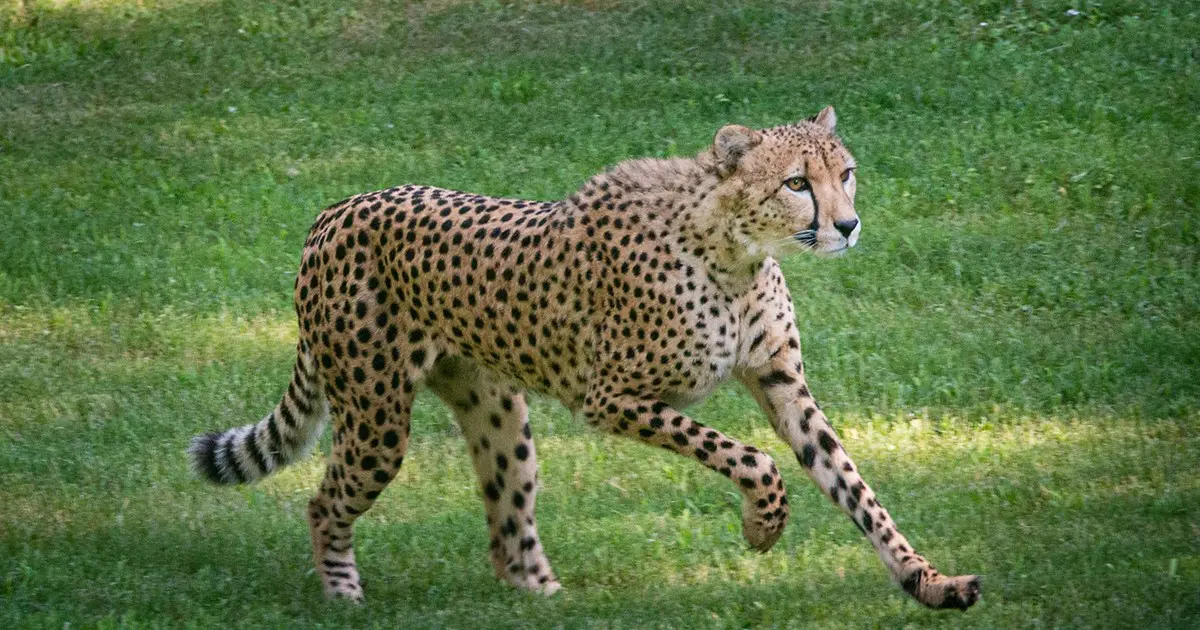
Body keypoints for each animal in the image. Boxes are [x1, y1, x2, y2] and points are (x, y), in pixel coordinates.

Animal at [188, 107, 981, 610]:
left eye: (845, 173)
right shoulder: (612, 399)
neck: (733, 251)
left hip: (499, 415)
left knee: (506, 530)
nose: (847, 226)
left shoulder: (783, 384)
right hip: (378, 417)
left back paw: (548, 599)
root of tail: (336, 209)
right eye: (795, 183)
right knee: (324, 501)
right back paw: (344, 598)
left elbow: (855, 489)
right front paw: (762, 527)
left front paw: (929, 583)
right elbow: (750, 457)